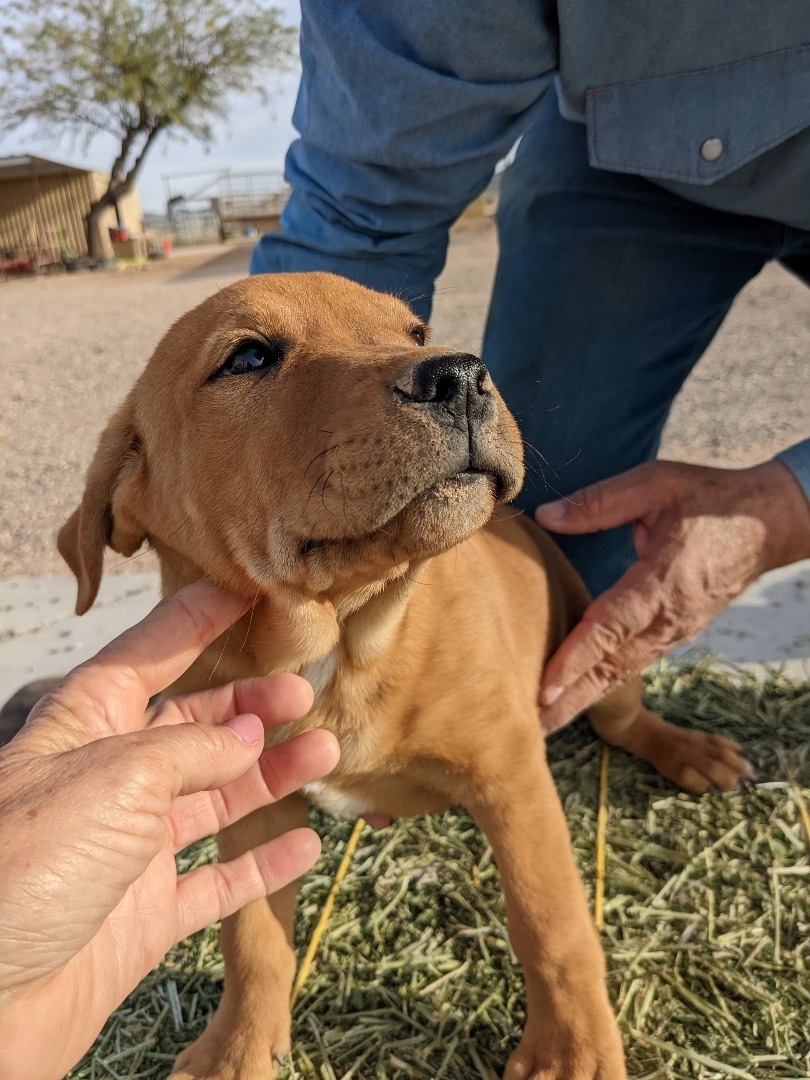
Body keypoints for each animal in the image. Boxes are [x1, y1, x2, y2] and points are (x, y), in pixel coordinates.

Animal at [60, 276, 751, 1080]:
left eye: (416, 332)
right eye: (249, 357)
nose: (460, 375)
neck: (343, 645)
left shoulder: (511, 773)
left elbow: (549, 919)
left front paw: (572, 1052)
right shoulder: (252, 800)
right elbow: (251, 934)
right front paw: (236, 1049)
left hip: (599, 658)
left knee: (624, 721)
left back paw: (692, 751)